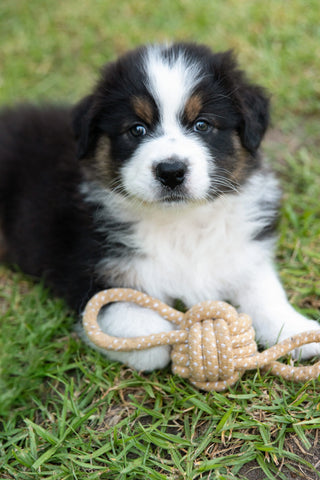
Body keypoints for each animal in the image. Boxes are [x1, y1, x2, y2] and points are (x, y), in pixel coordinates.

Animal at [0, 43, 320, 370]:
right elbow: (148, 343)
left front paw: (296, 330)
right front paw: (169, 335)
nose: (171, 171)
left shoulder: (241, 249)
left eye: (202, 124)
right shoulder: (89, 271)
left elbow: (264, 291)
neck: (180, 222)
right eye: (137, 129)